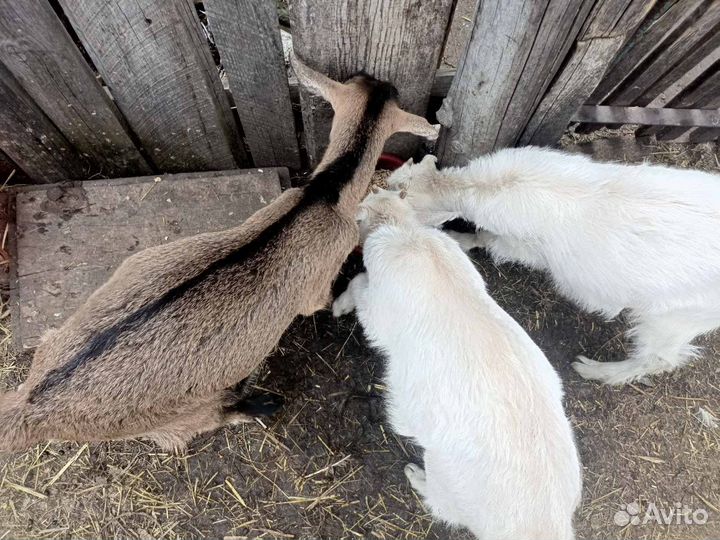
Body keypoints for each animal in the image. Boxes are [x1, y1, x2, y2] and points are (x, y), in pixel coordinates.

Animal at [0, 55, 438, 453]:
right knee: (194, 426)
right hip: (174, 413)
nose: (386, 81)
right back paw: (258, 403)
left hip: (62, 334)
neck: (323, 195)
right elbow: (321, 301)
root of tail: (31, 407)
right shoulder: (315, 285)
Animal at [333, 189, 582, 540]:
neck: (407, 231)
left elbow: (357, 284)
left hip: (447, 480)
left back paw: (412, 473)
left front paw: (337, 306)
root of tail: (546, 521)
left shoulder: (377, 315)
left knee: (441, 507)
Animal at [386, 147, 720, 385]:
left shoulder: (520, 246)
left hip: (675, 319)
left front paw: (460, 238)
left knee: (659, 359)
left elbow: (487, 238)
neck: (496, 185)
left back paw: (596, 371)